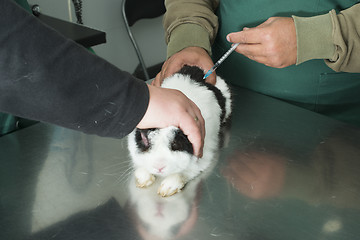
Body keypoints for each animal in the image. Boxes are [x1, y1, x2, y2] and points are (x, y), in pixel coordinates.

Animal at [128, 65, 232, 197]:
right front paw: (143, 180)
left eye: (176, 144)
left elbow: (184, 172)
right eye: (144, 139)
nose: (159, 167)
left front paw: (166, 189)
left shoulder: (203, 156)